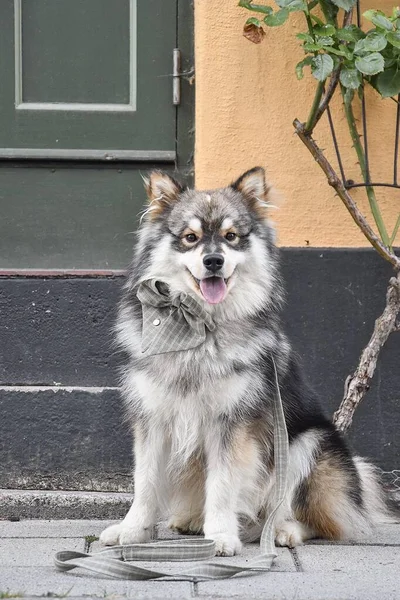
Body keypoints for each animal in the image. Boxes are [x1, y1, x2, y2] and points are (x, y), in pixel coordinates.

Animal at [101, 166, 394, 556]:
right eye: (191, 237)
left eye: (231, 237)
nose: (213, 261)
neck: (200, 328)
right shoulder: (153, 418)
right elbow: (145, 483)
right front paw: (132, 529)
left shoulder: (232, 424)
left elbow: (223, 485)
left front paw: (221, 536)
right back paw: (192, 520)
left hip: (307, 444)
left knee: (319, 521)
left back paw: (284, 531)